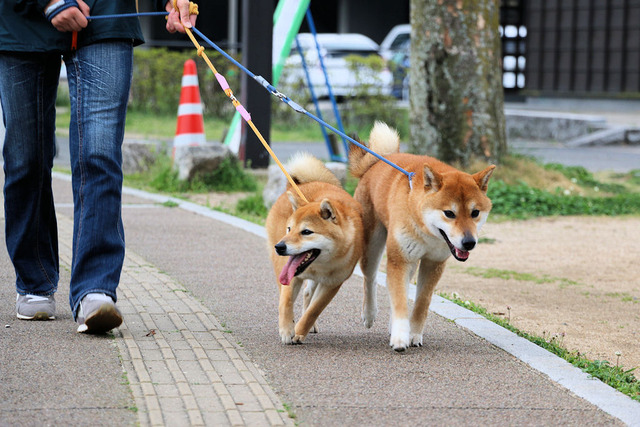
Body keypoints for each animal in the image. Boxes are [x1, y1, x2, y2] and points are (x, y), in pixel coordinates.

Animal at [266, 153, 364, 344]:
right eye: (289, 229)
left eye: (306, 232)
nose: (279, 247)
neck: (320, 265)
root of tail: (299, 185)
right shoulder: (291, 275)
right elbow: (286, 301)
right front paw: (287, 329)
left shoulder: (332, 284)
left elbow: (314, 310)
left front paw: (300, 330)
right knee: (286, 294)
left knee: (307, 294)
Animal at [350, 122, 496, 352]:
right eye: (449, 213)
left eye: (475, 213)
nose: (469, 243)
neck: (428, 234)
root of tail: (376, 162)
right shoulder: (399, 261)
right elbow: (400, 301)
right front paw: (400, 338)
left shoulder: (433, 263)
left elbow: (420, 303)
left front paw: (412, 334)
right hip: (374, 246)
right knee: (370, 278)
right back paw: (369, 314)